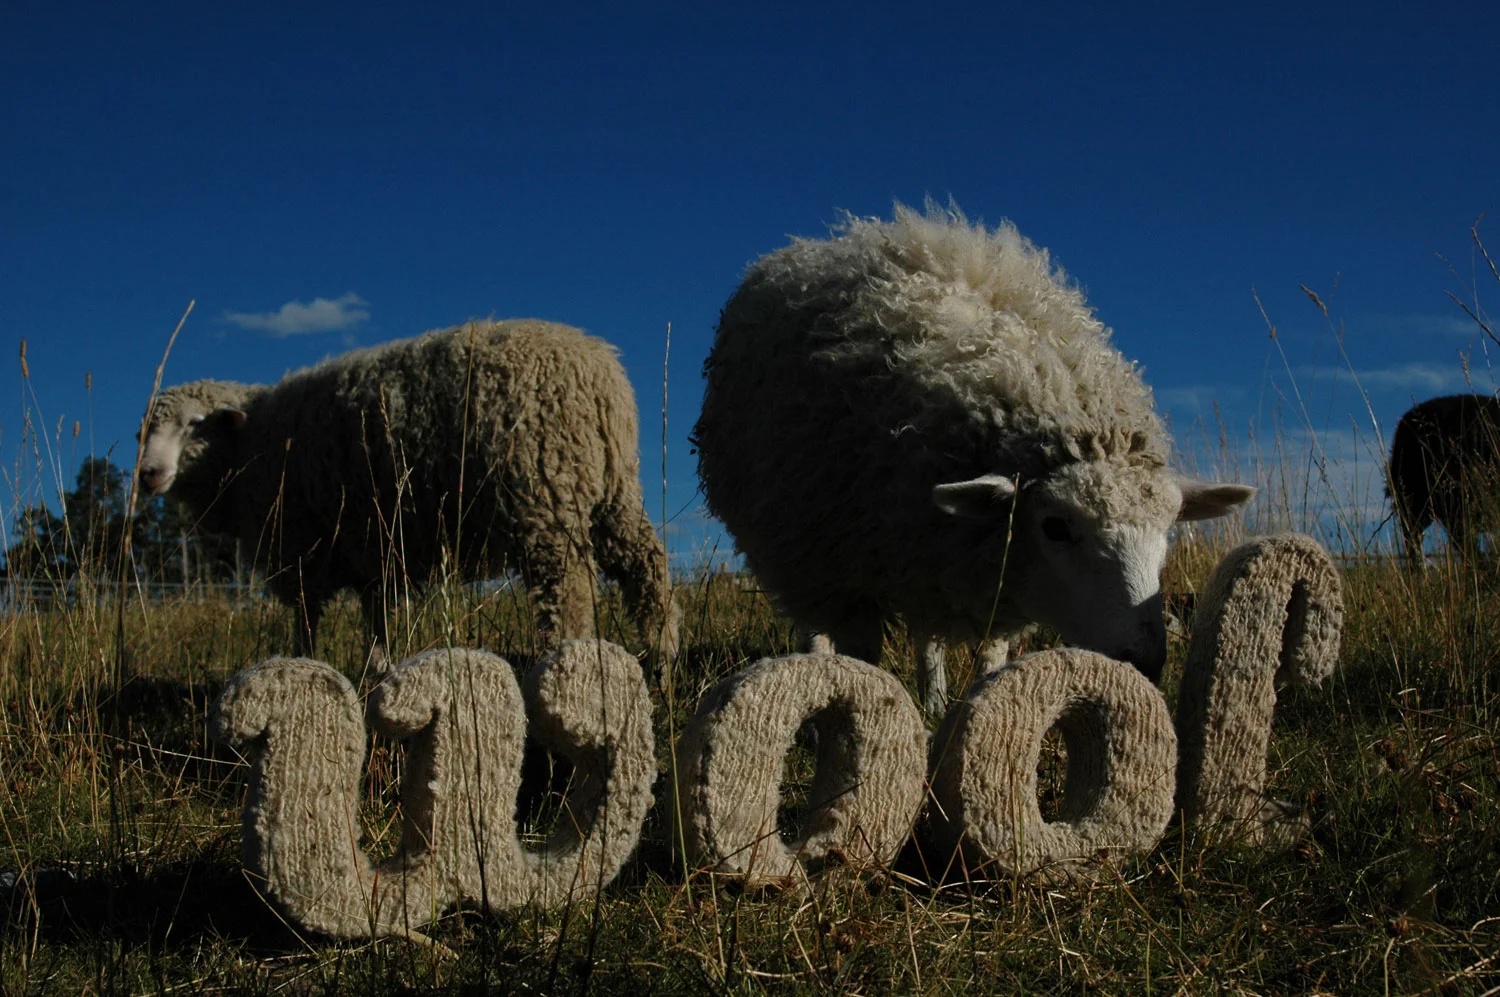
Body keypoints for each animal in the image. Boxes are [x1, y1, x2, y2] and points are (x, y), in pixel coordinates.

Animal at [139, 319, 677, 664]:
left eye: (194, 425)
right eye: (146, 429)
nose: (147, 474)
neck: (250, 445)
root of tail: (600, 371)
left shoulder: (300, 551)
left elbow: (306, 622)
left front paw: (302, 665)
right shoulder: (372, 548)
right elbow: (375, 620)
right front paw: (374, 672)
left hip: (543, 493)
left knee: (568, 592)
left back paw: (564, 658)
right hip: (609, 488)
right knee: (645, 564)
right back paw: (662, 648)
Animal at [694, 203, 1253, 715]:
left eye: (1169, 530)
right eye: (1055, 527)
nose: (1144, 660)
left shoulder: (983, 572)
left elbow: (991, 659)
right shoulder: (845, 573)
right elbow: (863, 664)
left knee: (927, 634)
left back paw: (935, 697)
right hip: (798, 545)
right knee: (814, 624)